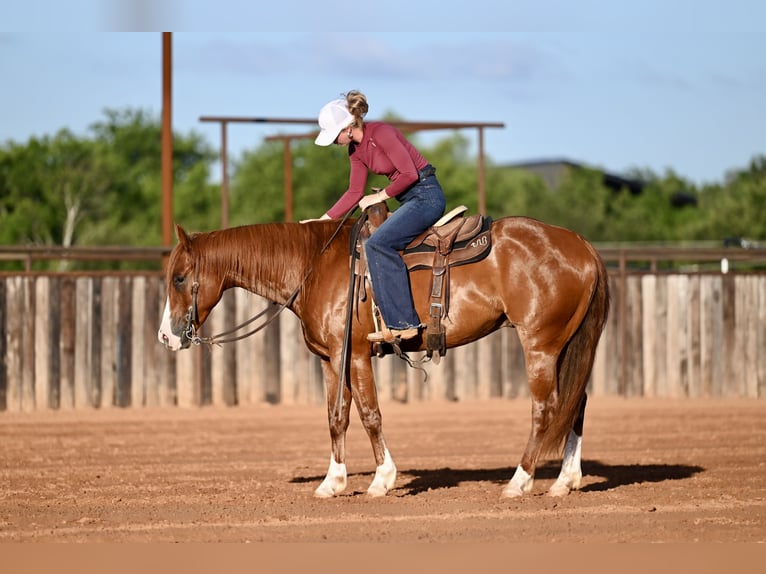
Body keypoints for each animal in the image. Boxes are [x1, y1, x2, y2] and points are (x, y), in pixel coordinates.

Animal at [158, 213, 609, 499]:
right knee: (577, 403)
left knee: (546, 408)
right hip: (567, 346)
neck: (315, 266)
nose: (165, 336)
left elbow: (370, 415)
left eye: (180, 278)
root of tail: (582, 245)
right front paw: (332, 482)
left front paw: (381, 480)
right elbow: (336, 417)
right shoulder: (331, 360)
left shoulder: (356, 355)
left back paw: (519, 482)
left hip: (540, 345)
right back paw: (565, 481)